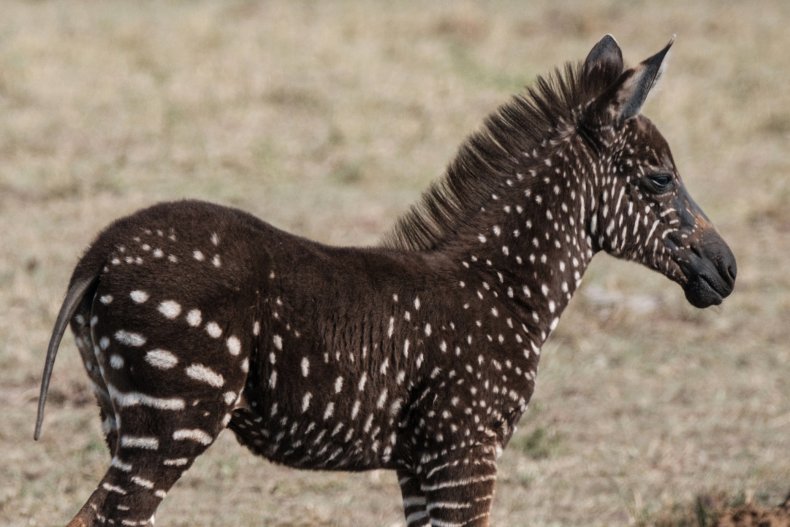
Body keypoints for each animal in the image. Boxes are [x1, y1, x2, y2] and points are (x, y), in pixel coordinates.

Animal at [32, 35, 736, 524]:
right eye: (659, 180)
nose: (728, 270)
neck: (504, 289)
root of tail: (101, 250)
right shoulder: (465, 449)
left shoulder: (421, 463)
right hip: (173, 421)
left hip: (121, 417)